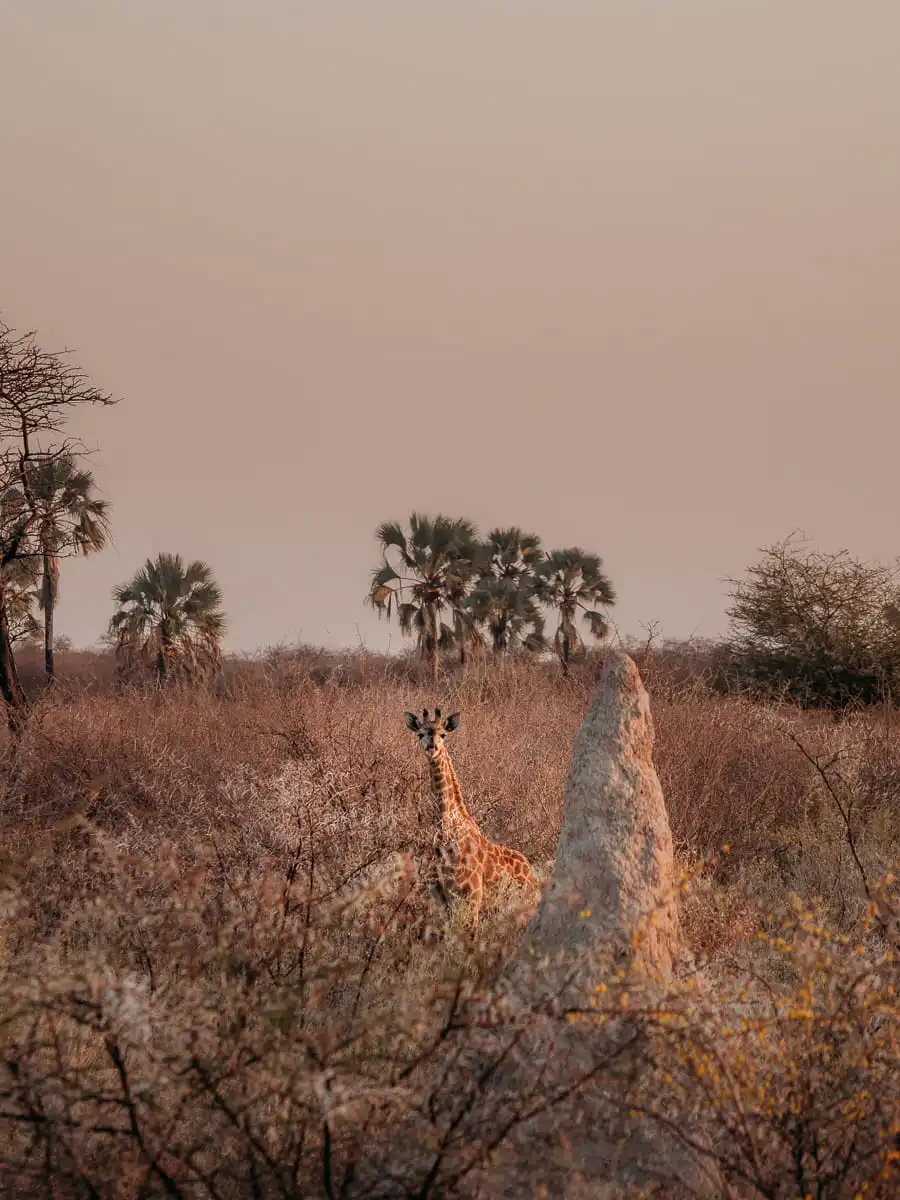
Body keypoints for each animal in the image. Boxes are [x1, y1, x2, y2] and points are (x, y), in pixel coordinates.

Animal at [405, 707, 538, 933]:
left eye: (443, 734)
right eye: (420, 734)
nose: (432, 748)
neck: (449, 831)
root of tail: (533, 875)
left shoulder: (472, 897)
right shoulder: (440, 900)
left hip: (524, 907)